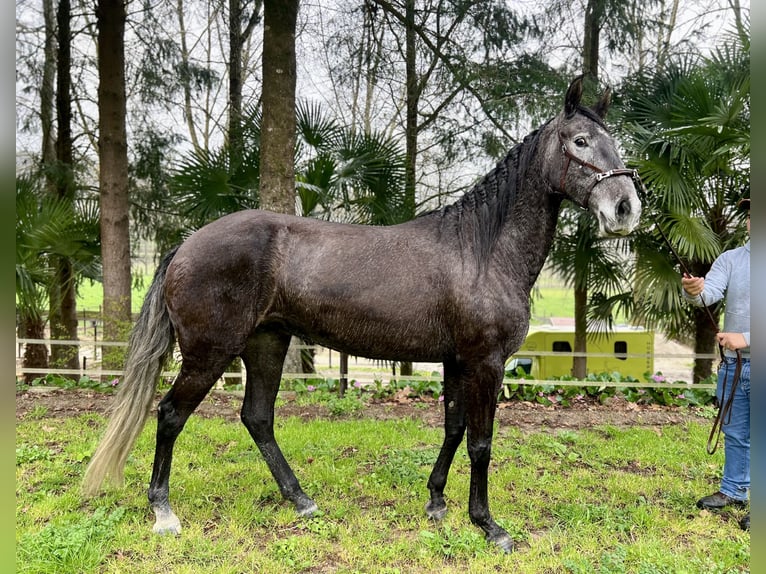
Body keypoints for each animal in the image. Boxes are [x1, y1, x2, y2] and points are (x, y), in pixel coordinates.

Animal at [82, 75, 640, 552]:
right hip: (209, 352)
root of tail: (186, 244)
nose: (625, 208)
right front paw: (489, 526)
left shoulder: (458, 361)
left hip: (267, 343)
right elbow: (481, 441)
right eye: (580, 142)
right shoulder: (485, 362)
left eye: (611, 141)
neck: (481, 249)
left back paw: (301, 500)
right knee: (171, 414)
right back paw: (164, 512)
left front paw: (437, 502)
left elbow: (454, 429)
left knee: (257, 418)